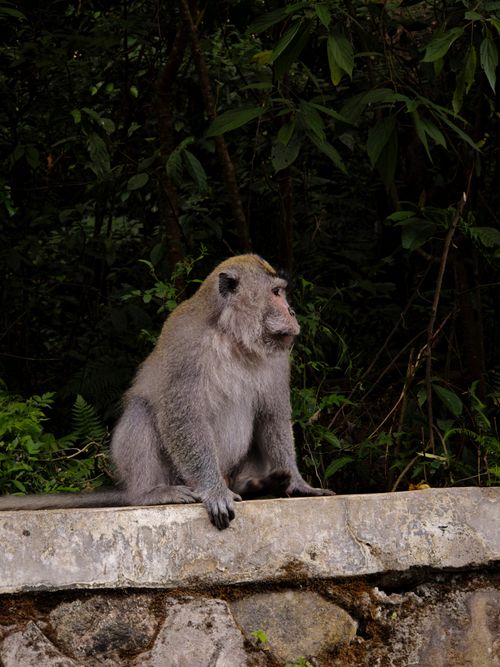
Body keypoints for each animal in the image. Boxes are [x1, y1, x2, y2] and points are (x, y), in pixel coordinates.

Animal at [0, 254, 334, 529]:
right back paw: (154, 493)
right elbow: (181, 415)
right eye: (276, 293)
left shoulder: (278, 358)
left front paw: (298, 485)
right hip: (172, 475)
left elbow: (273, 417)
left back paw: (255, 485)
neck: (233, 336)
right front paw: (214, 491)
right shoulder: (186, 345)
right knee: (142, 412)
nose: (291, 311)